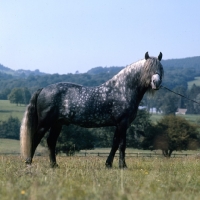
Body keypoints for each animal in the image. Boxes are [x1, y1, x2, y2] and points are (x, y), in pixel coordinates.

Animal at [20, 52, 163, 169]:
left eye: (160, 68)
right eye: (148, 68)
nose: (156, 83)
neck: (122, 90)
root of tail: (43, 89)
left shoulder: (118, 125)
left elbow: (115, 143)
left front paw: (108, 164)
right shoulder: (123, 123)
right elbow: (122, 144)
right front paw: (123, 166)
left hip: (57, 124)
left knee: (51, 142)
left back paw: (54, 165)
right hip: (45, 123)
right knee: (35, 139)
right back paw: (28, 163)